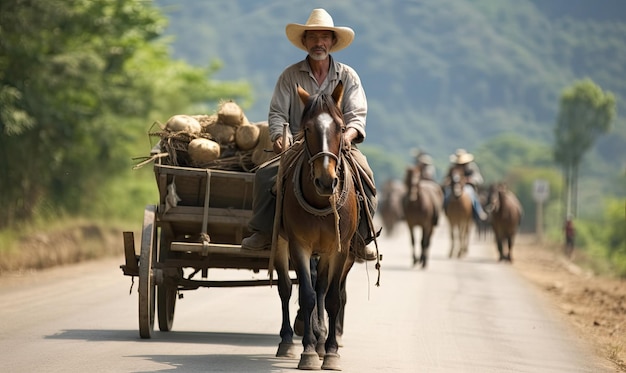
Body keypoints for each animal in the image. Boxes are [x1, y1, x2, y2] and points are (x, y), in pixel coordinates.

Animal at [270, 80, 358, 370]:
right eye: (307, 129)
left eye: (340, 128)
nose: (326, 181)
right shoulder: (299, 246)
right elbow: (306, 295)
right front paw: (307, 352)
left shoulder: (340, 250)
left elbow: (330, 298)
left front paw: (329, 352)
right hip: (281, 244)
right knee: (286, 289)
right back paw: (287, 340)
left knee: (323, 289)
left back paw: (321, 340)